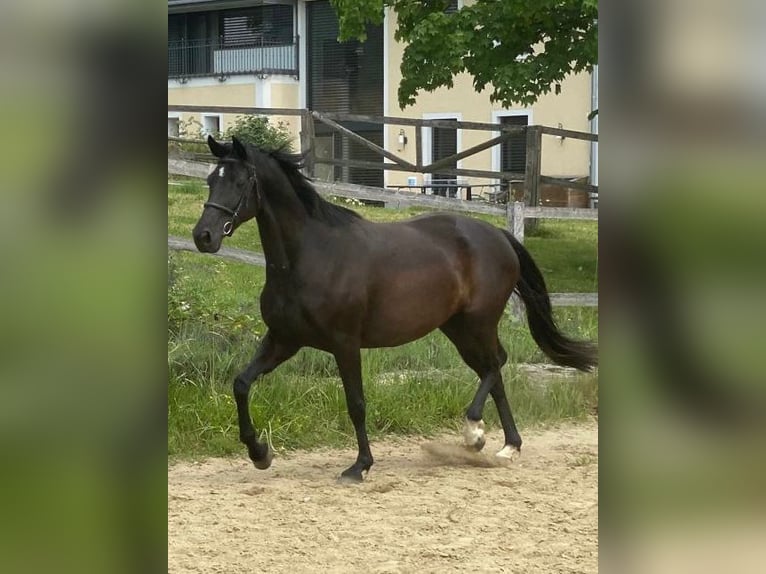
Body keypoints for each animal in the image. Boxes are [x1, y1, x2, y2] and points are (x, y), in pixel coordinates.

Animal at [192, 135, 597, 483]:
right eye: (212, 180)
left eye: (241, 182)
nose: (204, 236)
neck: (310, 257)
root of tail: (498, 235)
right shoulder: (284, 339)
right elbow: (241, 383)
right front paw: (259, 453)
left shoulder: (344, 343)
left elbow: (356, 403)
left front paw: (359, 467)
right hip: (457, 328)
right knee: (492, 370)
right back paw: (505, 446)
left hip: (478, 322)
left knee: (495, 364)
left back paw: (474, 432)